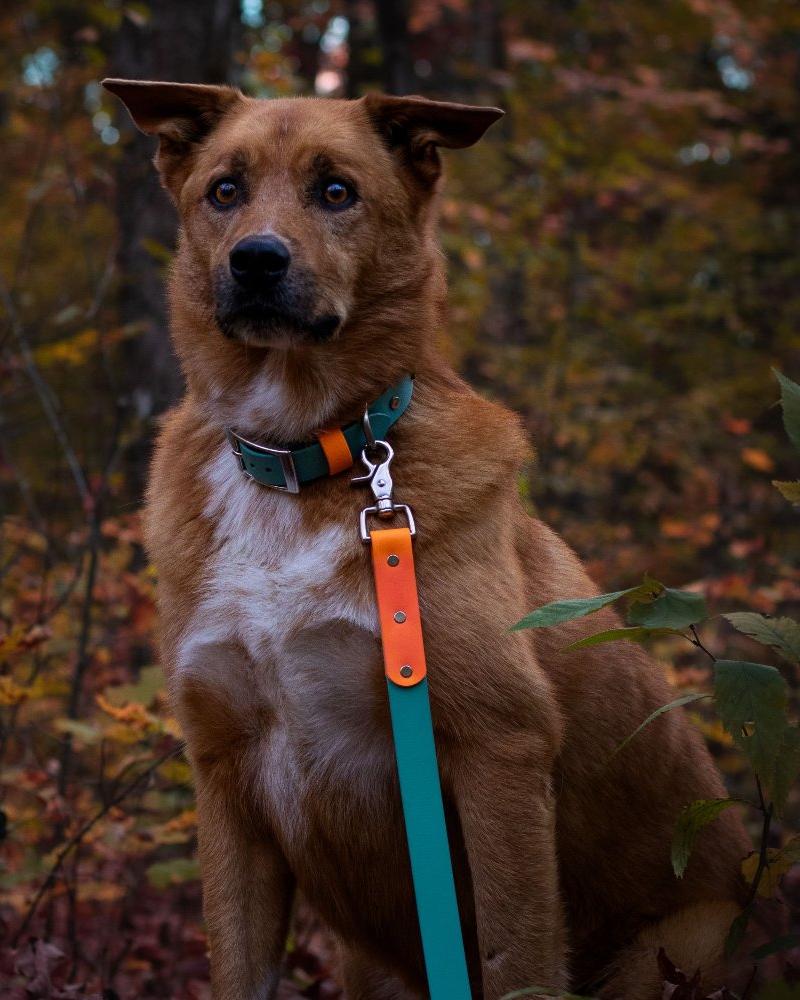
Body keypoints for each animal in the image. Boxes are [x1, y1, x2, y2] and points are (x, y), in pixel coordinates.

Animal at [104, 80, 752, 1000]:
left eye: (337, 191)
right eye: (224, 191)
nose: (256, 260)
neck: (304, 455)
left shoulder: (497, 745)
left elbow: (518, 957)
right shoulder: (225, 775)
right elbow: (236, 964)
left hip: (671, 953)